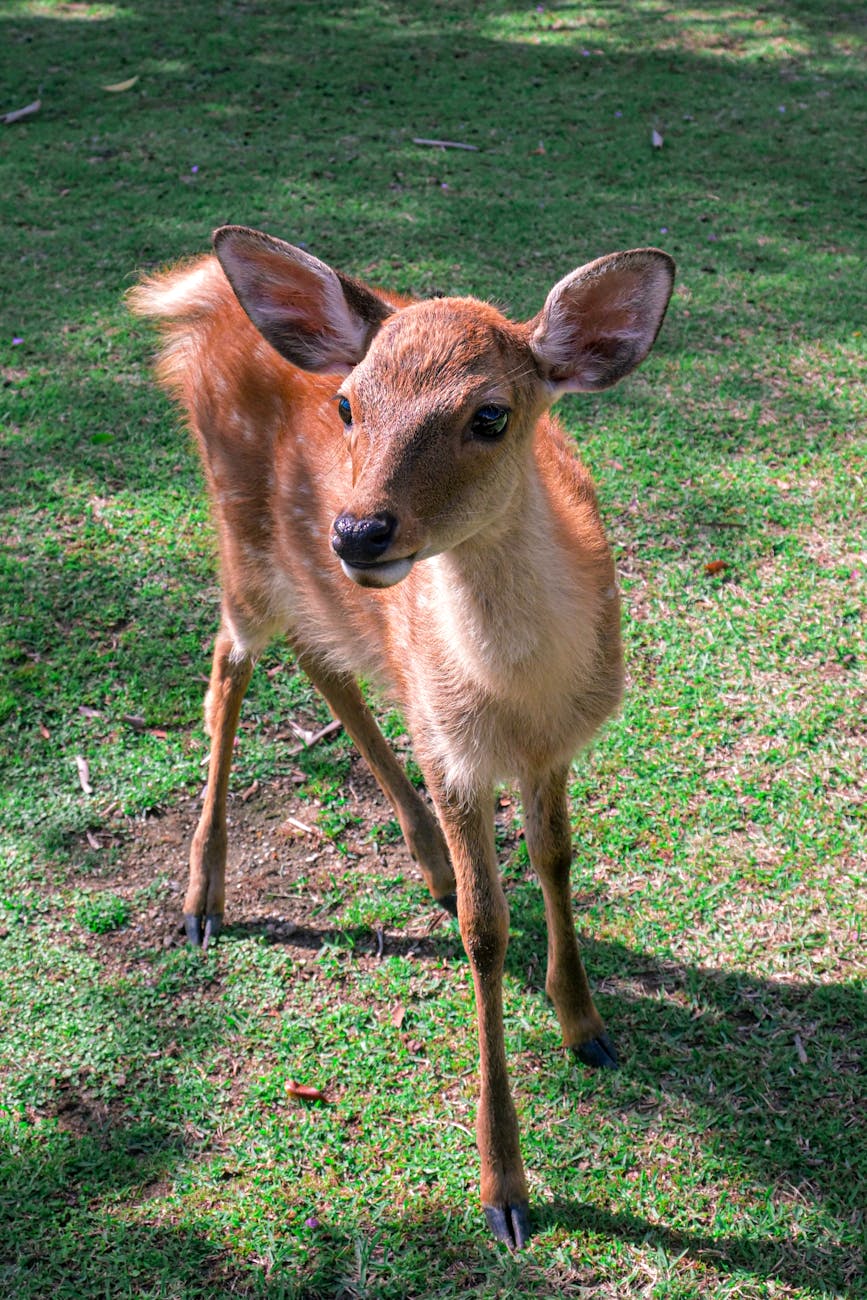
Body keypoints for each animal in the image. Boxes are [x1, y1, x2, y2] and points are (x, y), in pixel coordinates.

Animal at [130, 227, 674, 1249]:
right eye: (349, 403)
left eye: (491, 414)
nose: (358, 530)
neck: (517, 698)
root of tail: (197, 302)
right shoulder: (454, 750)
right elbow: (484, 930)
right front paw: (504, 1191)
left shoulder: (552, 747)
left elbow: (557, 861)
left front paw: (585, 1027)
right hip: (241, 545)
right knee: (228, 666)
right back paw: (203, 899)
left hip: (317, 589)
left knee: (326, 663)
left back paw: (422, 859)